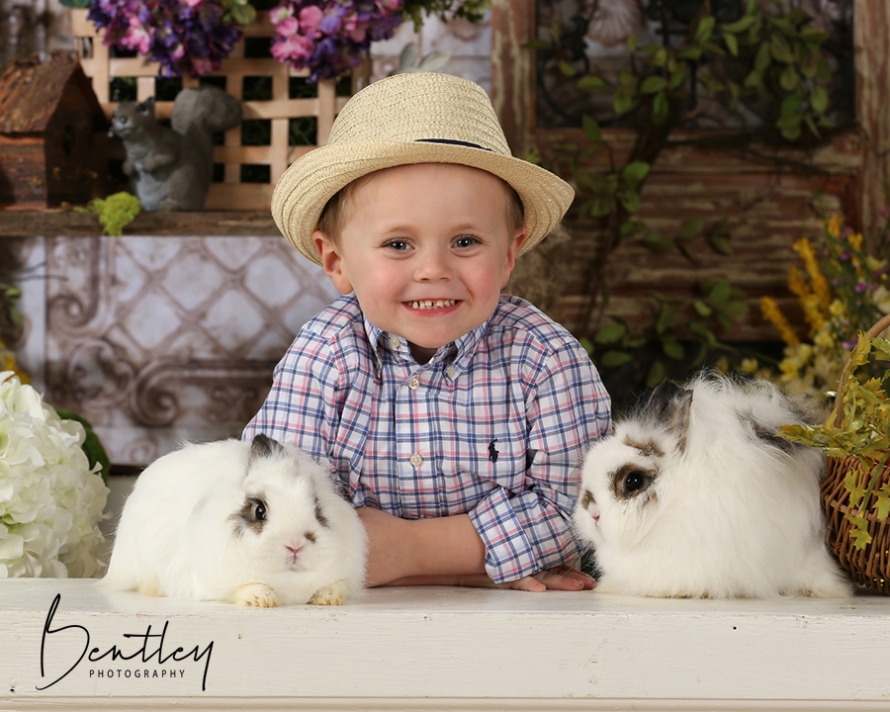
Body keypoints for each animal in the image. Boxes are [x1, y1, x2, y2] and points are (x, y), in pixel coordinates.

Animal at [102, 434, 366, 608]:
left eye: (316, 507)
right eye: (259, 510)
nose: (294, 545)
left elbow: (337, 584)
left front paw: (329, 598)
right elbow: (241, 587)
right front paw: (262, 600)